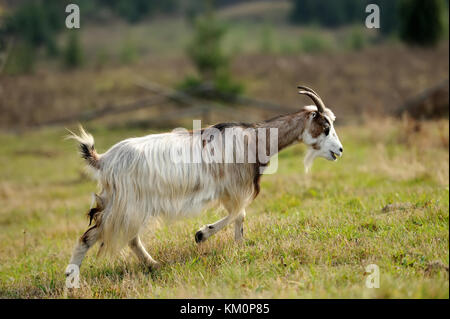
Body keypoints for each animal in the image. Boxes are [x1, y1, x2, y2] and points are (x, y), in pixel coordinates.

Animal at [65, 86, 342, 274]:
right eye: (326, 126)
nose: (339, 151)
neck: (254, 139)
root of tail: (104, 160)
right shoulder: (233, 187)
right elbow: (238, 213)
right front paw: (201, 234)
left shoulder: (232, 190)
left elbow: (239, 216)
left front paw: (239, 246)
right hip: (126, 205)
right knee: (90, 237)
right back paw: (71, 280)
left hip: (127, 205)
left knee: (127, 238)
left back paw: (153, 265)